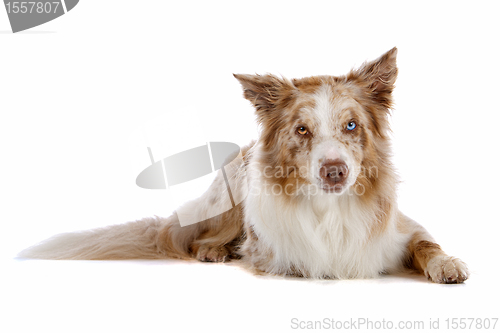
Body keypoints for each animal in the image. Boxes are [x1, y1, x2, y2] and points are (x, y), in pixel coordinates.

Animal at [18, 48, 468, 284]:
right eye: (302, 129)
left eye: (351, 125)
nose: (334, 171)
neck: (330, 208)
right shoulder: (275, 250)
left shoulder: (402, 229)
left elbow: (427, 243)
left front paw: (447, 264)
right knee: (200, 238)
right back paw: (214, 250)